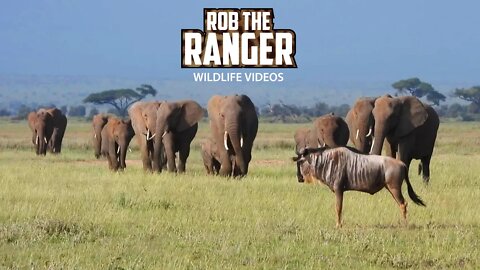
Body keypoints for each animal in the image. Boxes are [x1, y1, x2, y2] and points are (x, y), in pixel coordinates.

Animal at [292, 147, 424, 227]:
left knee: (403, 204)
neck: (327, 162)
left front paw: (338, 225)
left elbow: (338, 208)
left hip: (394, 188)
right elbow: (339, 208)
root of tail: (403, 164)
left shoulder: (339, 189)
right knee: (402, 204)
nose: (299, 178)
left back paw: (405, 224)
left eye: (301, 162)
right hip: (391, 189)